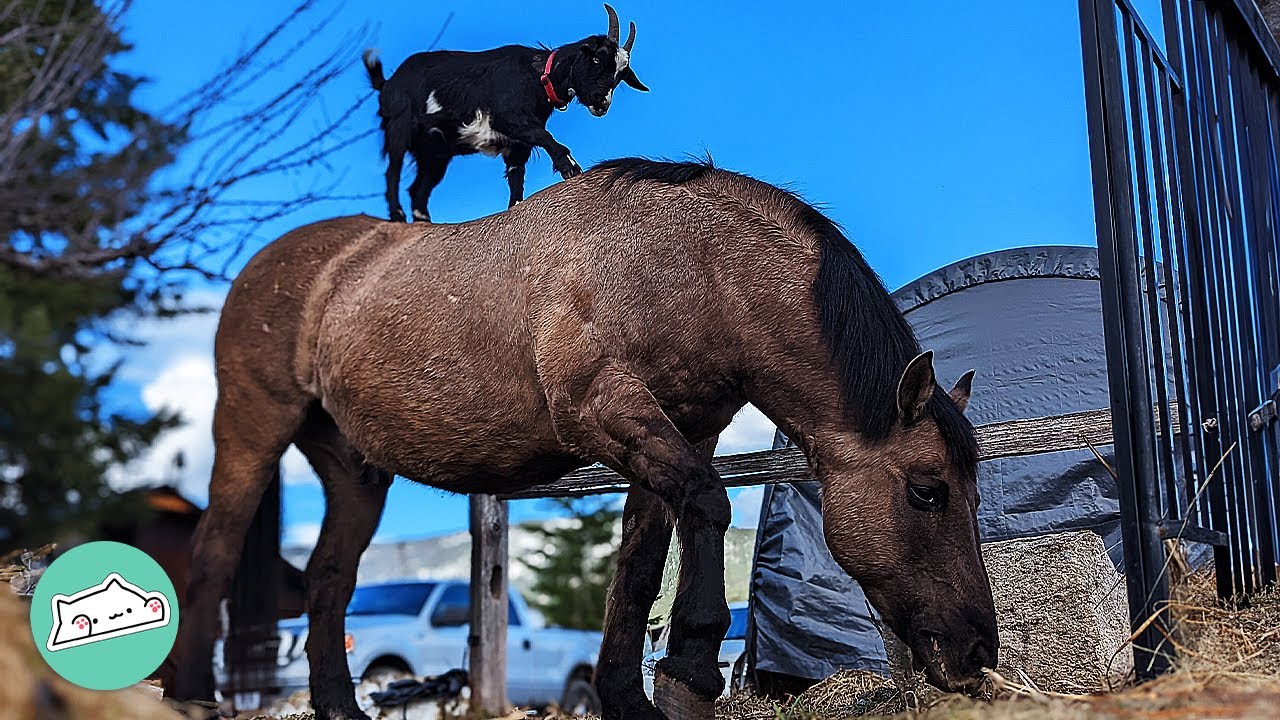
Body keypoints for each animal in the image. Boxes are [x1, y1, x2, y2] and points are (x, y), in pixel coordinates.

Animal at [165, 158, 997, 720]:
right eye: (927, 491)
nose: (978, 654)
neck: (692, 265)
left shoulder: (678, 432)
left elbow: (640, 565)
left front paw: (629, 697)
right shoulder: (603, 410)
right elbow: (710, 504)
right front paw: (693, 661)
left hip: (355, 470)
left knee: (331, 581)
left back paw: (339, 707)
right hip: (251, 429)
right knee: (214, 556)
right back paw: (188, 693)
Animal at [363, 4, 648, 222]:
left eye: (620, 76)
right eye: (597, 59)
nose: (602, 104)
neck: (537, 76)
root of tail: (388, 83)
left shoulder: (518, 147)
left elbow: (516, 181)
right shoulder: (507, 120)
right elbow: (545, 136)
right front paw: (570, 166)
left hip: (435, 153)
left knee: (419, 189)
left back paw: (424, 221)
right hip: (399, 126)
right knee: (393, 171)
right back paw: (397, 215)